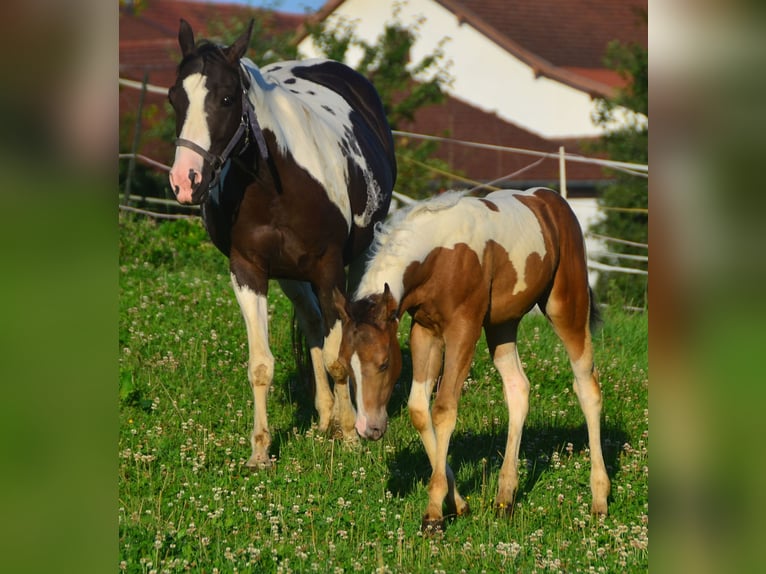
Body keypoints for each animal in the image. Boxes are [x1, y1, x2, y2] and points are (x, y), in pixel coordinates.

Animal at [167, 20, 396, 470]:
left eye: (226, 98)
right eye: (173, 98)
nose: (186, 181)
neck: (275, 187)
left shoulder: (328, 268)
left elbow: (339, 357)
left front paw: (349, 437)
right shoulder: (248, 270)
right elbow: (261, 365)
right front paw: (260, 451)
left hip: (355, 258)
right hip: (291, 274)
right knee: (312, 323)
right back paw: (324, 417)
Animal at [336, 190, 612, 536]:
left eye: (384, 363)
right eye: (347, 366)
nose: (368, 429)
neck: (439, 253)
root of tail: (552, 201)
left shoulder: (463, 330)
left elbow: (443, 410)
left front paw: (433, 514)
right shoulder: (425, 330)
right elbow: (419, 411)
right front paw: (458, 503)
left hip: (566, 307)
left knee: (588, 389)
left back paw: (599, 500)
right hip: (502, 324)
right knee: (518, 389)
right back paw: (505, 497)